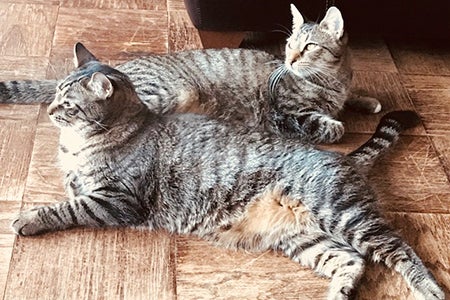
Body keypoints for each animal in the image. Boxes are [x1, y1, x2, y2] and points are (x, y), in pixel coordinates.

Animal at [0, 5, 380, 144]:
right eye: (289, 45)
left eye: (309, 46)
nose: (289, 60)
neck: (330, 79)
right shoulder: (285, 114)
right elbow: (329, 125)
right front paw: (335, 123)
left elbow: (351, 98)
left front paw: (366, 101)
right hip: (168, 93)